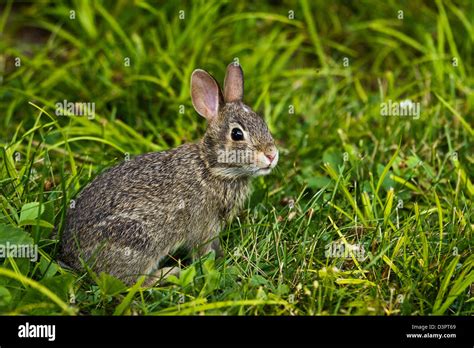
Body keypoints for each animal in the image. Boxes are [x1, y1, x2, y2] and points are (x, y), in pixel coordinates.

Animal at [60, 62, 280, 286]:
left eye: (263, 123)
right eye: (237, 134)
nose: (272, 155)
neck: (211, 168)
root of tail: (72, 257)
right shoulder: (203, 229)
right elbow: (203, 252)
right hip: (138, 242)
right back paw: (170, 273)